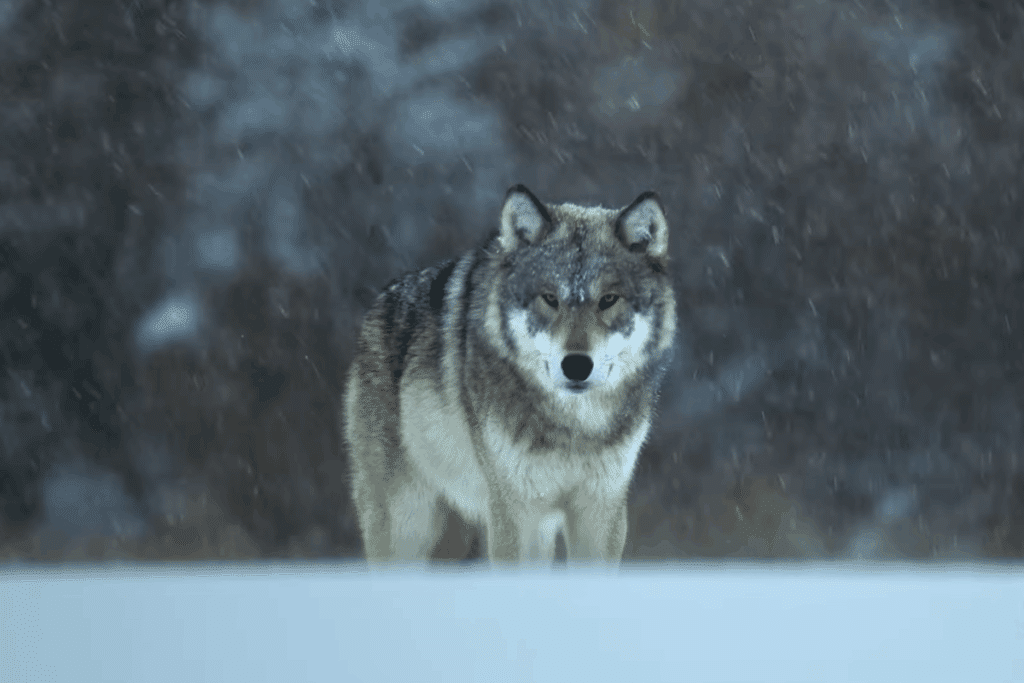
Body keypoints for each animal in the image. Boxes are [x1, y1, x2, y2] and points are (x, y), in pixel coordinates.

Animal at [344, 185, 676, 565]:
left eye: (608, 299)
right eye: (549, 298)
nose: (576, 365)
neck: (574, 428)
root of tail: (380, 301)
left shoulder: (601, 510)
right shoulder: (513, 510)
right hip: (408, 522)